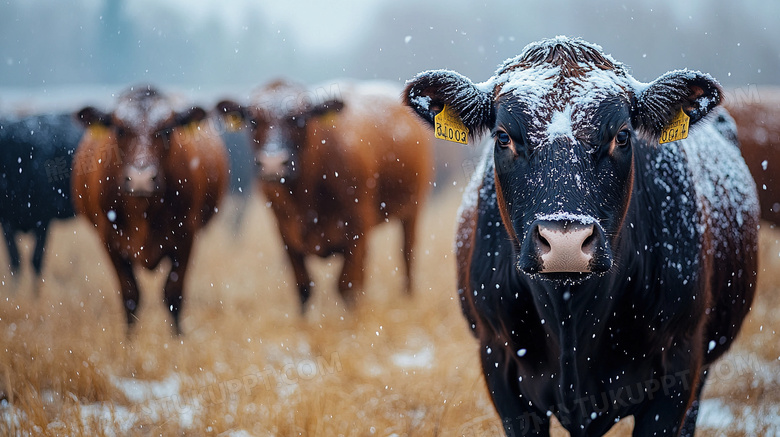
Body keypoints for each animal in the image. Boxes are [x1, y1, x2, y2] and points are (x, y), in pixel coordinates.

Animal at [71, 85, 230, 332]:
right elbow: (130, 296)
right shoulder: (109, 239)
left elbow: (173, 295)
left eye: (166, 130)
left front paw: (177, 340)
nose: (141, 178)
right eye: (119, 130)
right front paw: (128, 341)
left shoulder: (186, 237)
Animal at [218, 79, 432, 310]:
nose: (272, 163)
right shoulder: (285, 232)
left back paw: (408, 297)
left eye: (300, 119)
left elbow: (346, 285)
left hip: (413, 207)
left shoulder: (357, 226)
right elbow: (304, 288)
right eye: (254, 120)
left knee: (407, 253)